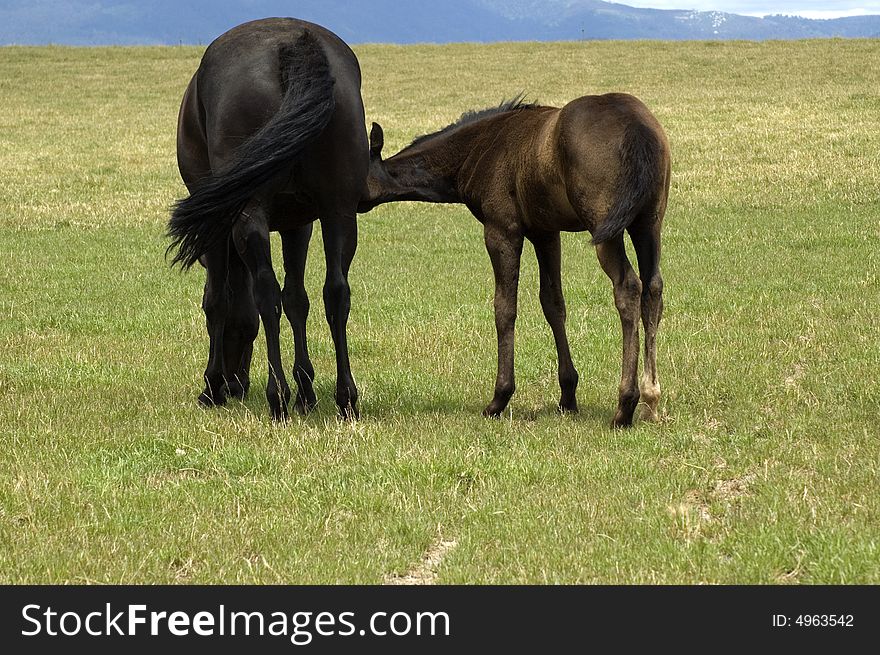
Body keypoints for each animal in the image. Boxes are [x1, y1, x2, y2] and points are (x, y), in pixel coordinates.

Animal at [168, 19, 368, 426]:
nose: (236, 383)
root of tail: (292, 46)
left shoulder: (218, 228)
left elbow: (218, 300)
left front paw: (211, 385)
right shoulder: (298, 224)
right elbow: (297, 300)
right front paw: (306, 390)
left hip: (251, 213)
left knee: (265, 292)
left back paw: (277, 396)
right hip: (339, 210)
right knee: (336, 293)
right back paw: (345, 398)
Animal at [360, 95, 672, 428]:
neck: (476, 149)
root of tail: (637, 127)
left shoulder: (502, 229)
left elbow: (504, 308)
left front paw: (499, 398)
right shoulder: (545, 232)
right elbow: (553, 303)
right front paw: (567, 396)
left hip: (606, 231)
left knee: (628, 288)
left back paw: (625, 405)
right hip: (648, 223)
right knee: (653, 289)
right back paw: (651, 398)